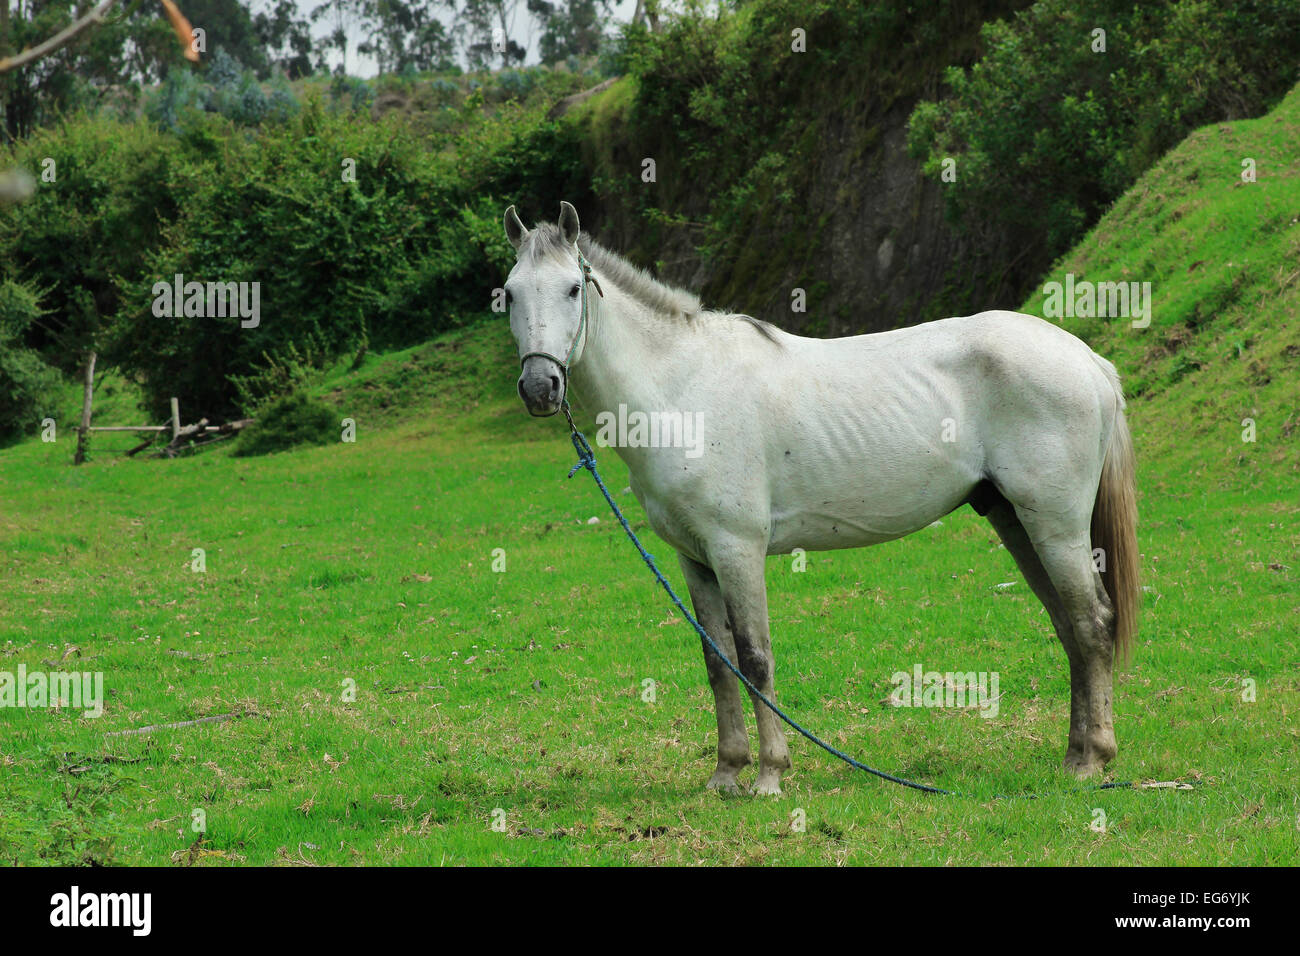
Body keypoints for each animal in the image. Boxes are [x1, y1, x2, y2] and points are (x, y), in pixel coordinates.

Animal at [501, 204, 1133, 801]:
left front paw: (769, 775)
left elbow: (754, 658)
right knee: (1069, 626)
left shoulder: (736, 549)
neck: (684, 389)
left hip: (1055, 526)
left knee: (1092, 623)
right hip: (1015, 520)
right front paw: (726, 774)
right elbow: (718, 663)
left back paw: (1092, 760)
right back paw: (1074, 755)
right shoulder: (694, 558)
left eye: (573, 288)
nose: (539, 388)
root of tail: (1088, 361)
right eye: (509, 293)